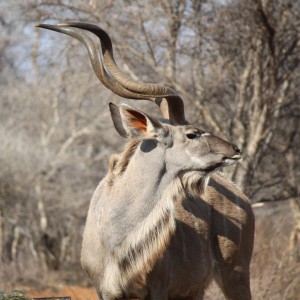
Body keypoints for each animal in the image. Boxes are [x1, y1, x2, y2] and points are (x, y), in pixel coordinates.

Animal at [36, 22, 254, 298]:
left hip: (235, 274)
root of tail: (242, 198)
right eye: (192, 134)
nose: (235, 149)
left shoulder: (158, 287)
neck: (116, 235)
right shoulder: (104, 291)